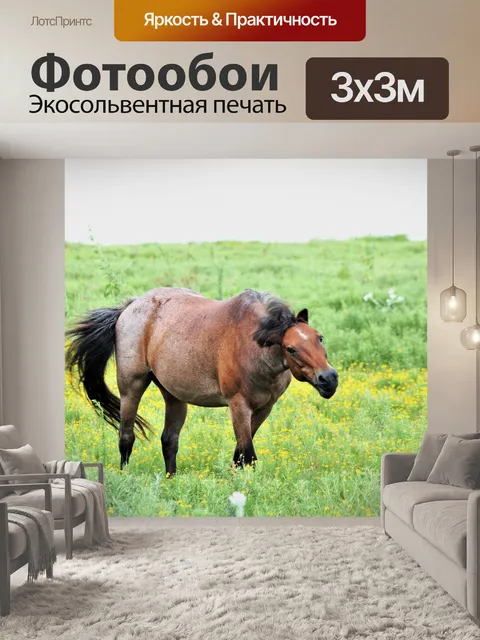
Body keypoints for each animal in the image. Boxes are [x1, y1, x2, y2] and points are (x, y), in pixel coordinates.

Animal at [66, 288, 338, 475]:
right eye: (291, 348)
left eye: (319, 338)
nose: (329, 379)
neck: (252, 344)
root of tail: (129, 307)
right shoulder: (239, 406)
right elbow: (248, 455)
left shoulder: (263, 409)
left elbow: (239, 454)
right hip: (131, 388)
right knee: (126, 437)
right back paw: (126, 476)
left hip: (174, 396)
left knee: (169, 440)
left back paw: (171, 480)